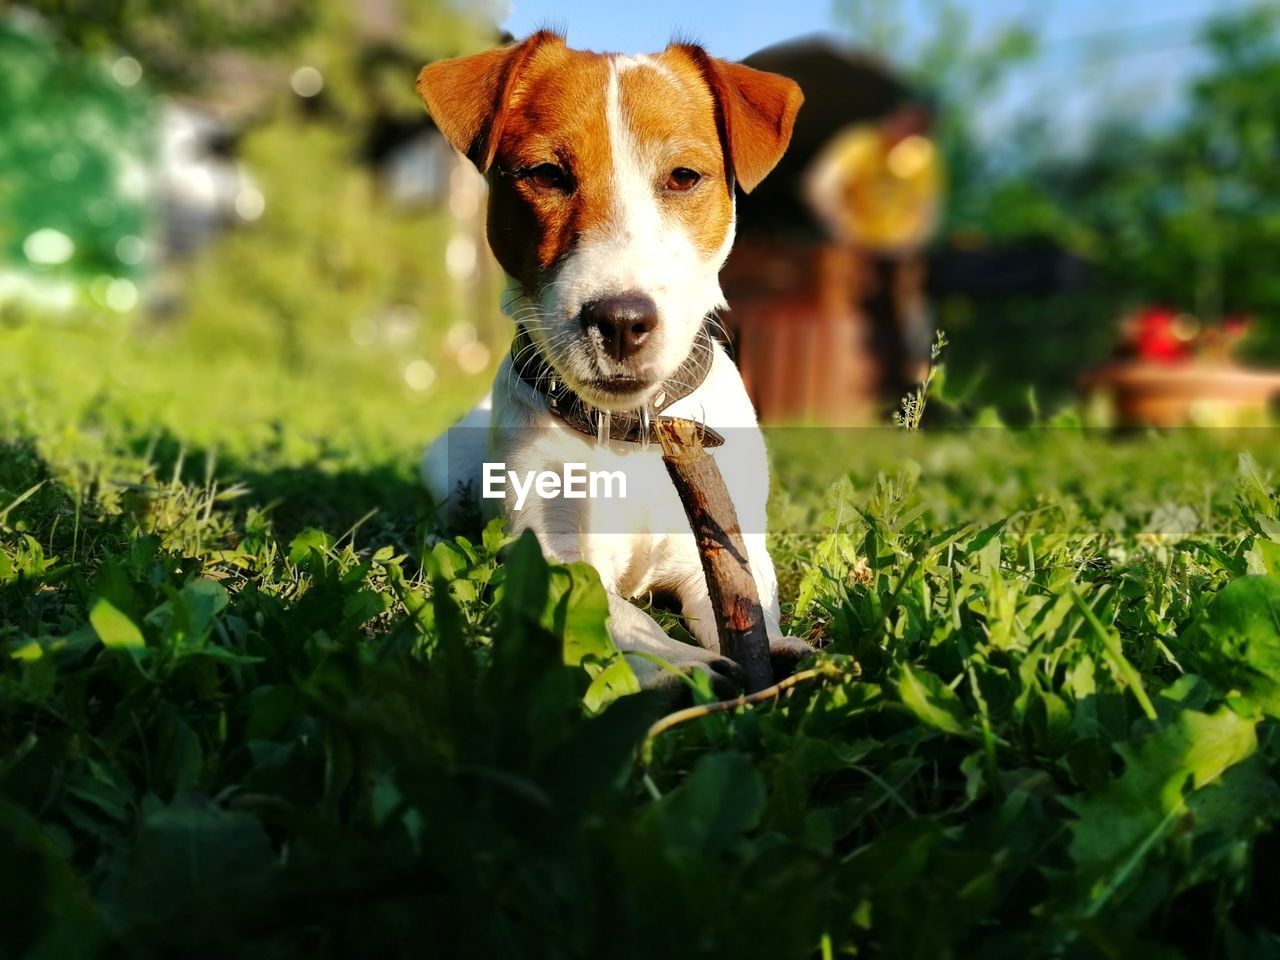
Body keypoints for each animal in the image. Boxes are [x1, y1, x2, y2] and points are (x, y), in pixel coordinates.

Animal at [414, 30, 803, 691]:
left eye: (683, 177)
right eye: (546, 174)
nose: (621, 320)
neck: (632, 433)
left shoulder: (720, 545)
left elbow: (743, 601)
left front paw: (774, 648)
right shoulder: (548, 551)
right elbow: (615, 610)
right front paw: (678, 663)